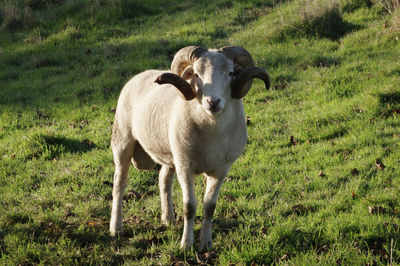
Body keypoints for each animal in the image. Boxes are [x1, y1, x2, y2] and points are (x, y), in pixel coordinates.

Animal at [109, 44, 268, 250]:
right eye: (197, 74)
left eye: (231, 73)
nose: (213, 102)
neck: (212, 133)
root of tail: (140, 75)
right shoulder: (185, 166)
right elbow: (189, 206)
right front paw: (186, 244)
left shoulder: (221, 170)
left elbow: (210, 206)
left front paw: (206, 243)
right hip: (123, 143)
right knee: (119, 185)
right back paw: (116, 228)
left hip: (170, 153)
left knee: (163, 179)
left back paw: (168, 218)